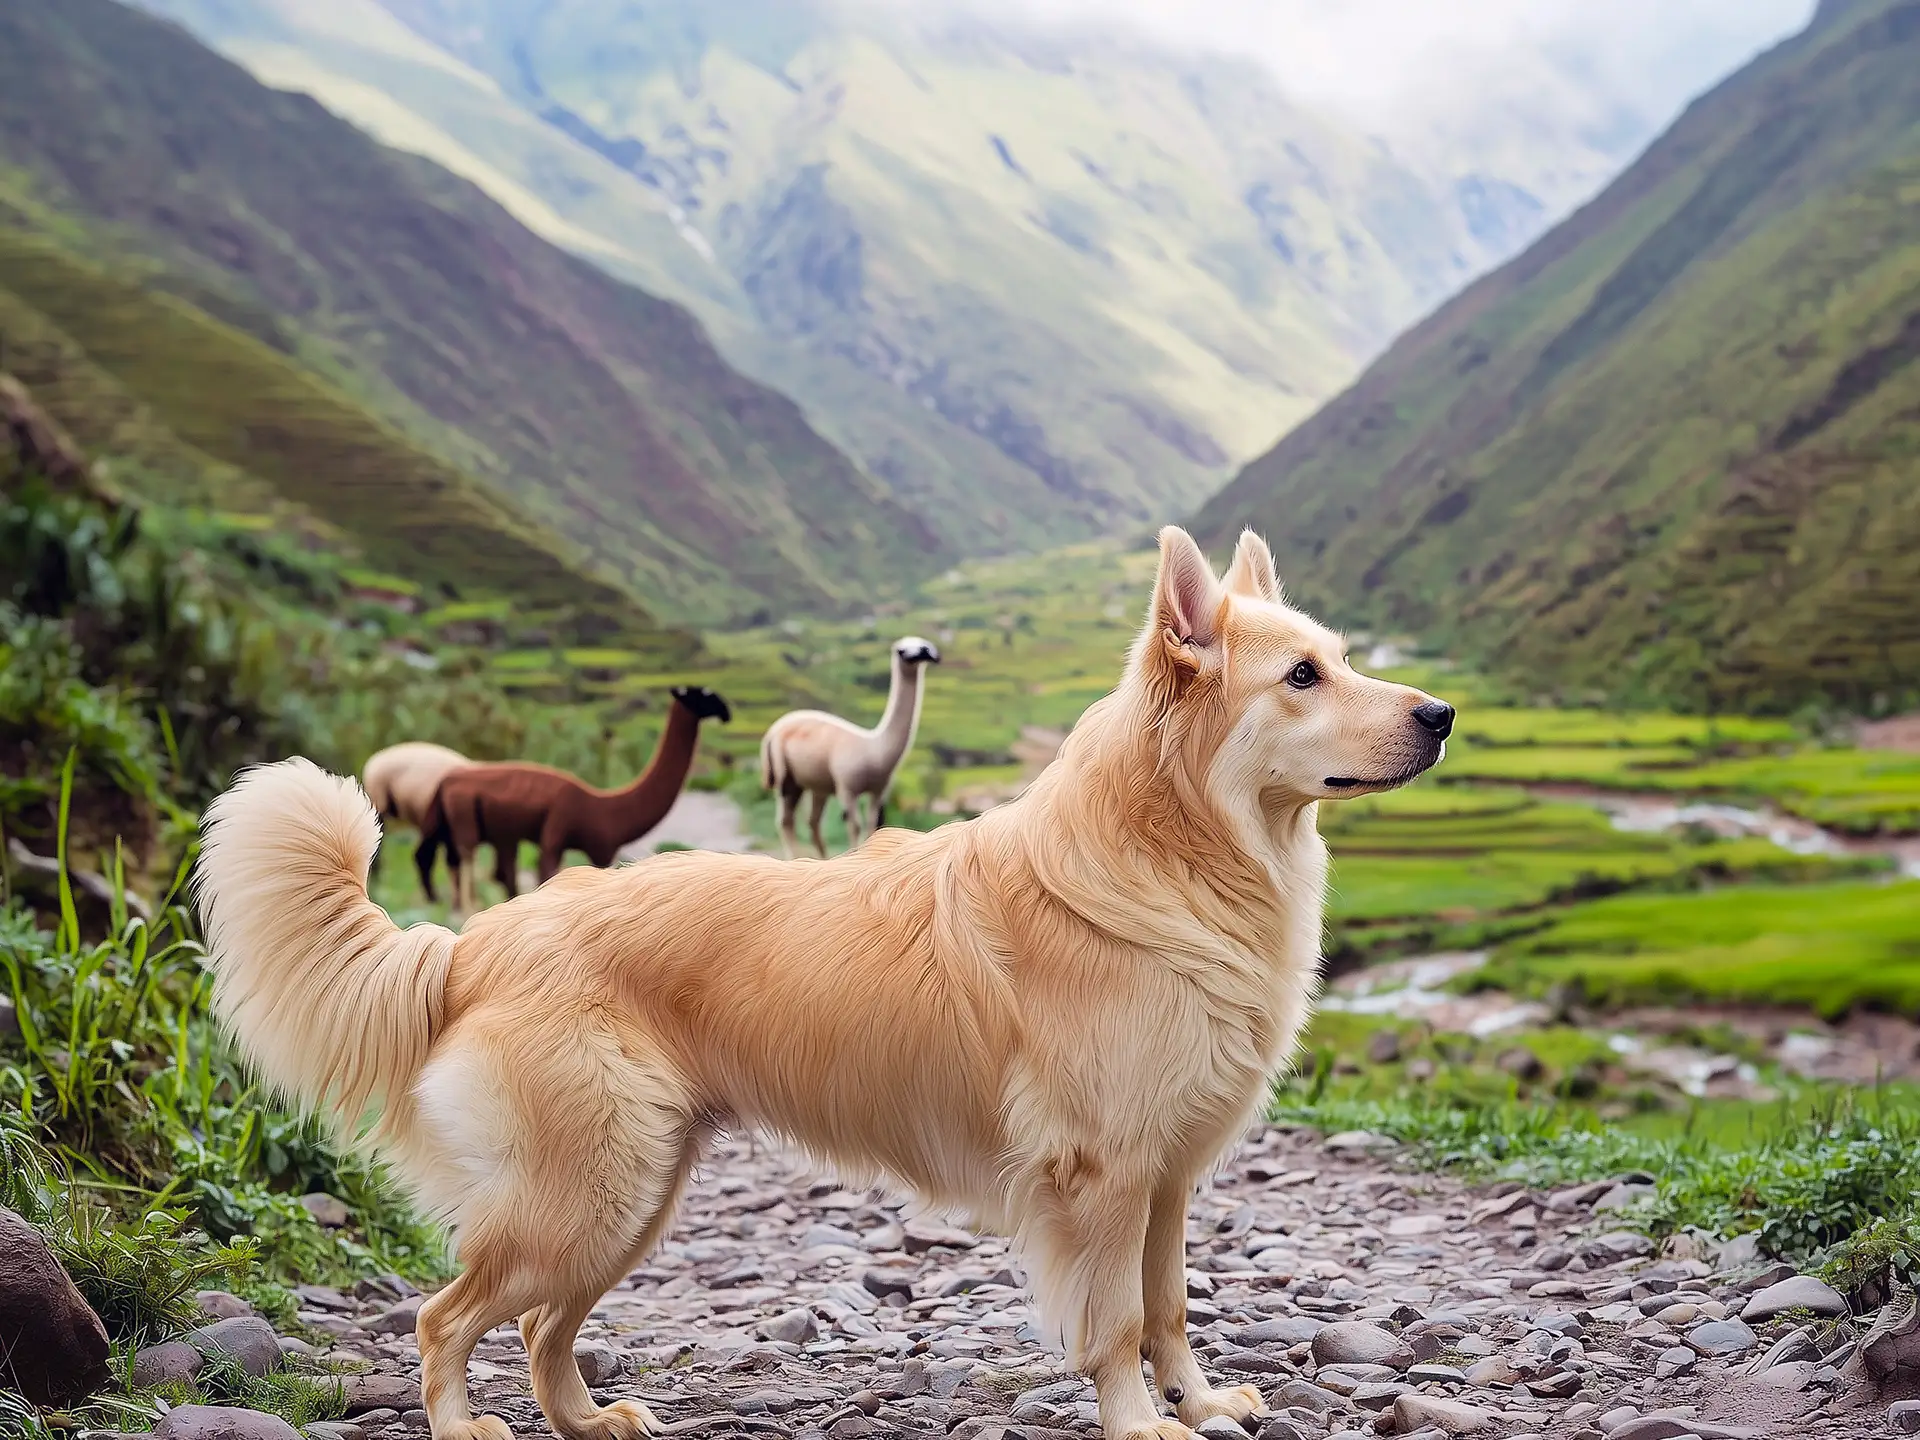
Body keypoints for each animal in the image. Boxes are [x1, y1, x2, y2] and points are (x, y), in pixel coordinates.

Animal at [198, 529, 1451, 1440]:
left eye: (1338, 657)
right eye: (1302, 676)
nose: (1441, 716)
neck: (1171, 855)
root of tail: (471, 945)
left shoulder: (1169, 1179)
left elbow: (1169, 1304)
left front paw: (1198, 1400)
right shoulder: (1100, 1179)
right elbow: (1111, 1323)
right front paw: (1143, 1424)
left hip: (628, 1201)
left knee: (545, 1328)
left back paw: (590, 1421)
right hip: (584, 1197)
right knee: (446, 1314)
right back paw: (468, 1428)